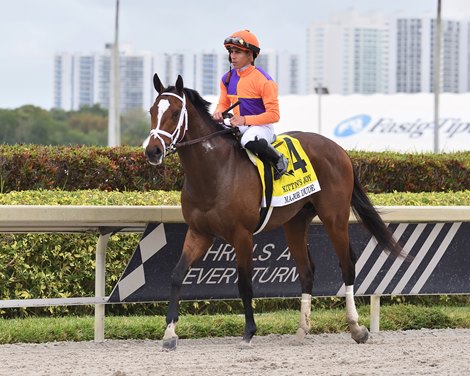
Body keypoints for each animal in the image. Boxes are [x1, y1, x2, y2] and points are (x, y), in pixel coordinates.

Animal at [144, 75, 404, 352]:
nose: (153, 151)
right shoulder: (199, 232)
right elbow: (176, 274)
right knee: (307, 270)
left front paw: (248, 332)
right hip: (295, 222)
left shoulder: (242, 235)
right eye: (152, 111)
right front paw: (169, 333)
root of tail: (339, 150)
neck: (215, 172)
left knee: (347, 264)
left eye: (174, 112)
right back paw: (302, 330)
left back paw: (356, 327)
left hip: (334, 217)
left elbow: (245, 283)